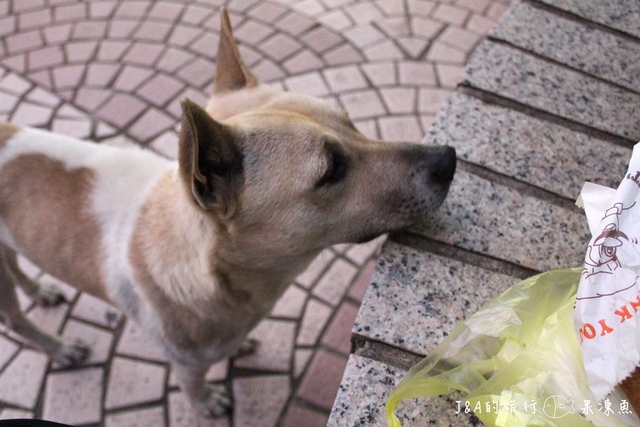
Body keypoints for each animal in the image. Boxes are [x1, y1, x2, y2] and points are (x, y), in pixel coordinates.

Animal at [0, 9, 456, 418]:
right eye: (332, 170)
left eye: (351, 122)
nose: (448, 159)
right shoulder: (184, 363)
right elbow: (193, 385)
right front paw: (206, 402)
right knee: (15, 321)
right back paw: (57, 346)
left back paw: (38, 290)